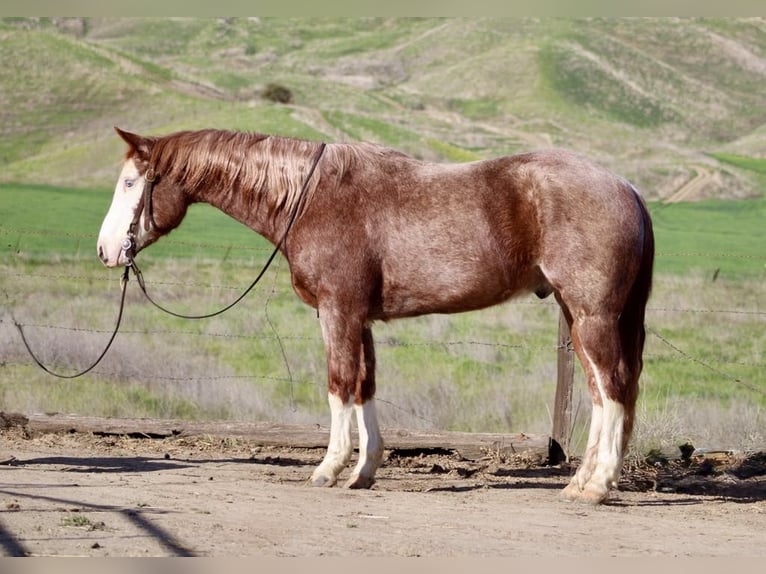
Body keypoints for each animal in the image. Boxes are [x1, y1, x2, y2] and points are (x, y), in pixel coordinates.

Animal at [98, 127, 654, 504]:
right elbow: (364, 387)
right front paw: (362, 471)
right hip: (578, 316)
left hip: (593, 315)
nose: (105, 251)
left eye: (129, 183)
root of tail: (626, 187)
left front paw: (328, 469)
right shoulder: (359, 319)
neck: (310, 197)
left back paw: (598, 486)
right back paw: (581, 481)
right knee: (601, 392)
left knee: (613, 387)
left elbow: (339, 383)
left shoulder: (337, 312)